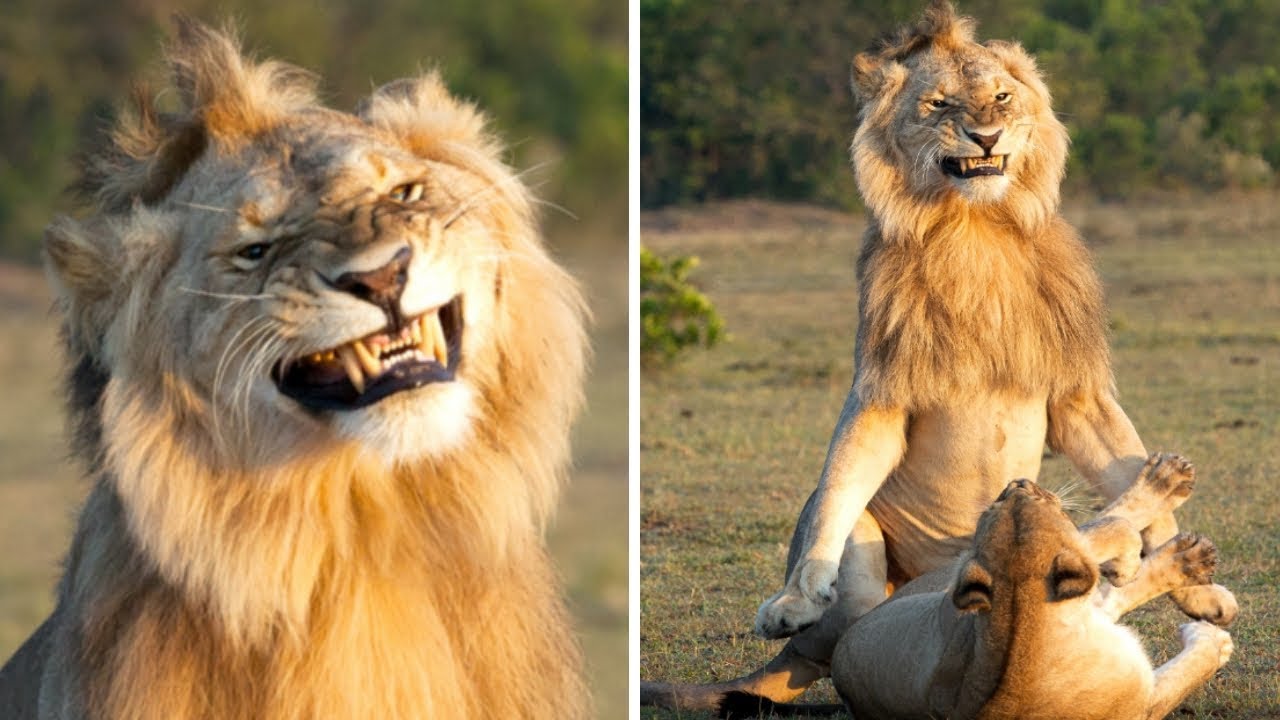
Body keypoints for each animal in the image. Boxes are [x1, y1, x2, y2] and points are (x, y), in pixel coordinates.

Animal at [641, 2, 1235, 713]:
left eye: (1002, 97)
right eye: (939, 104)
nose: (985, 134)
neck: (975, 228)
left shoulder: (1076, 390)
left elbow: (1125, 462)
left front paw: (1204, 593)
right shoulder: (884, 387)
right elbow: (841, 476)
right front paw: (794, 597)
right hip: (869, 580)